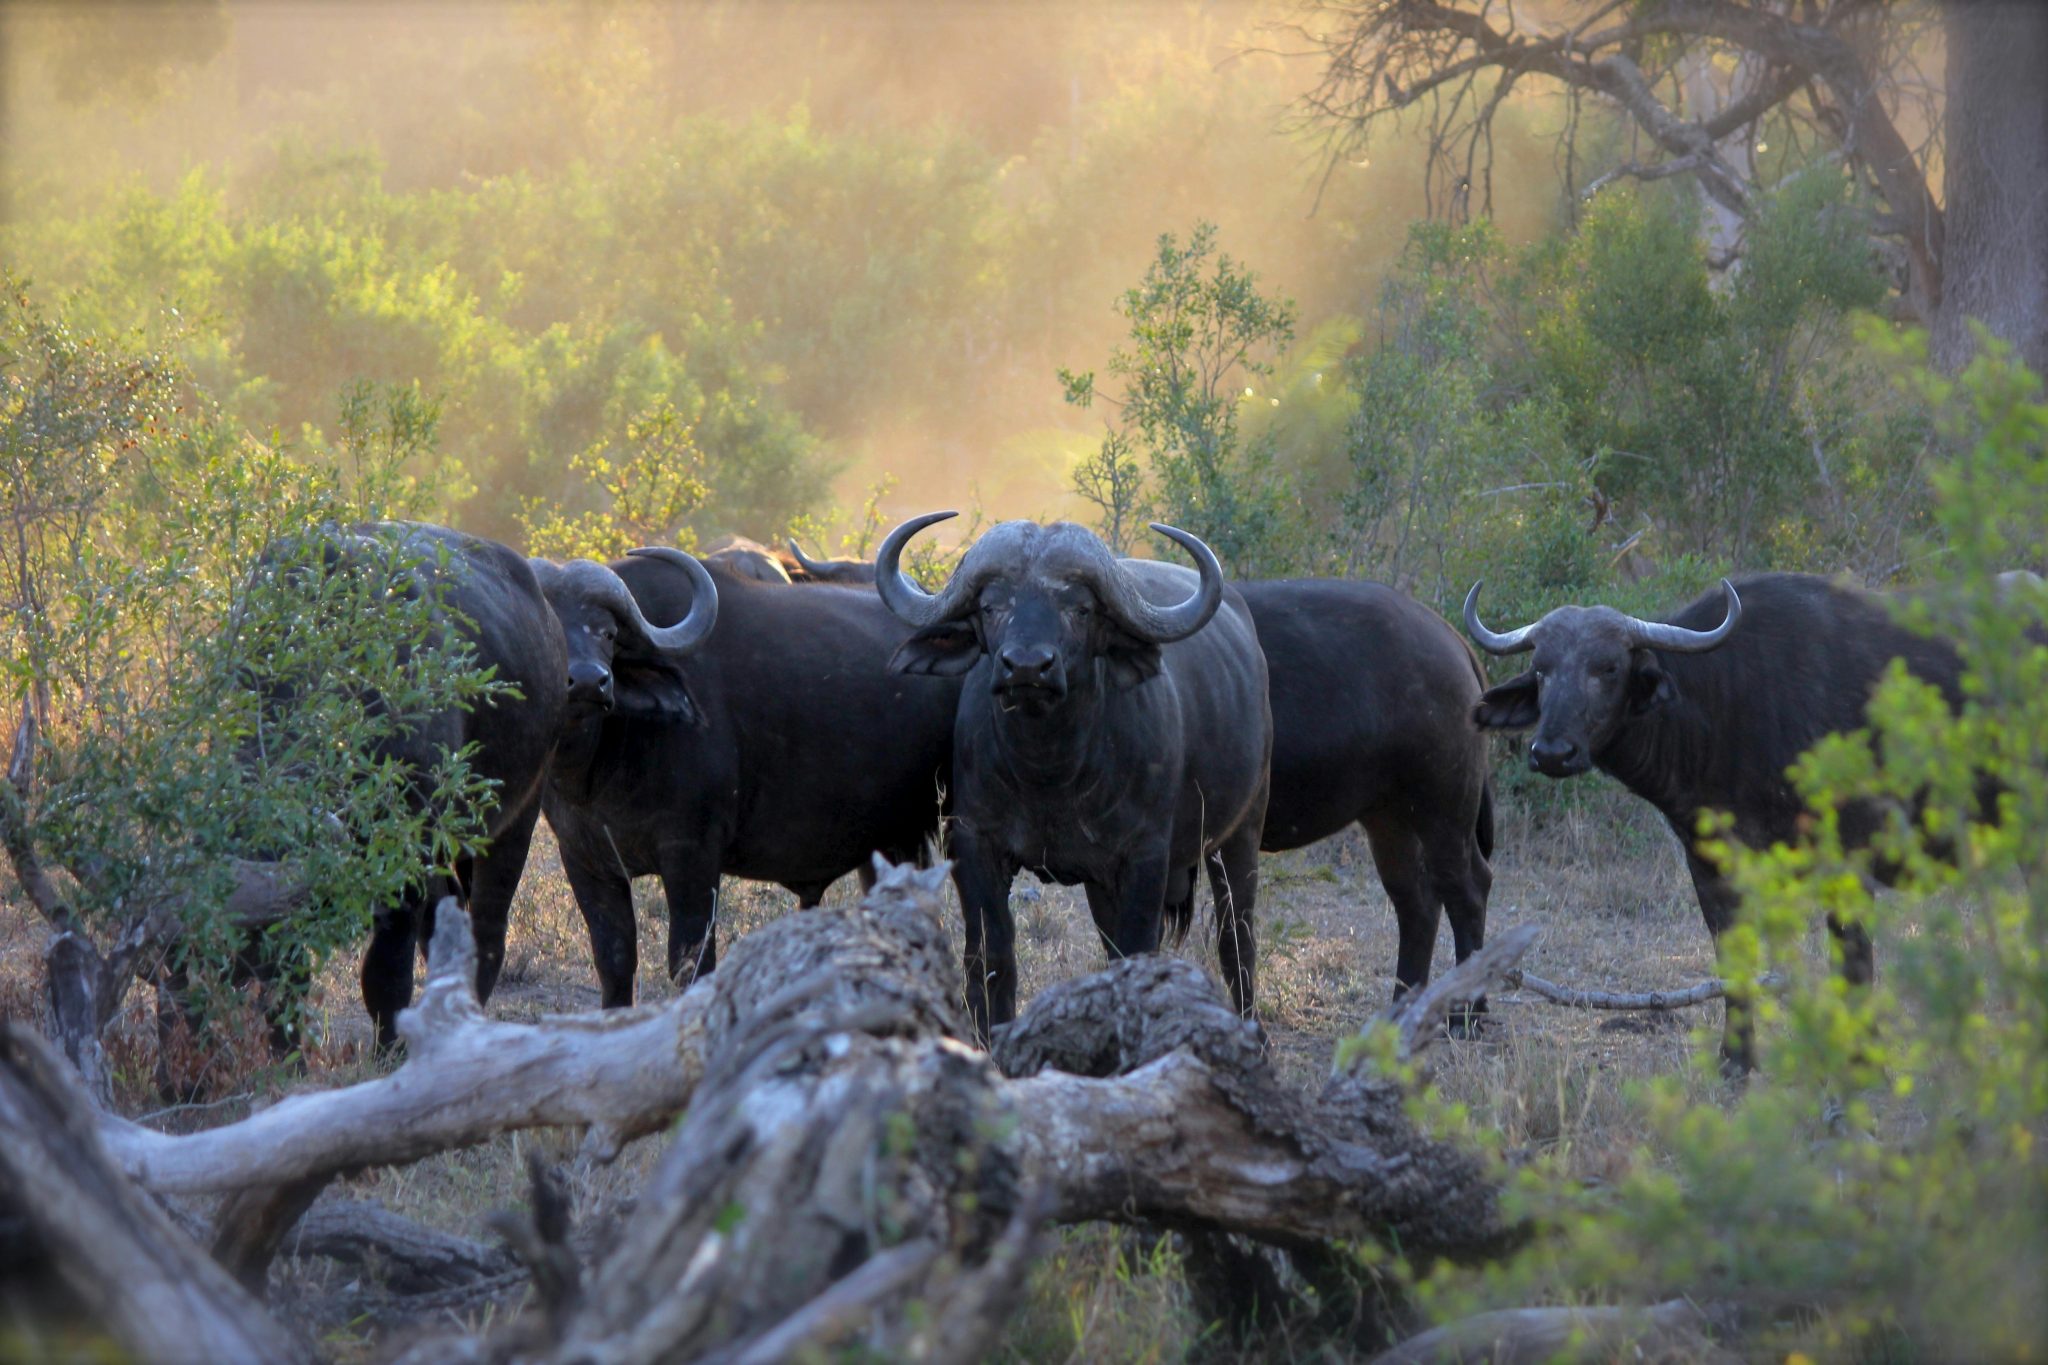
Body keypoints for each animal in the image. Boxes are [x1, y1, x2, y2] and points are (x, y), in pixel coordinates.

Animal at [538, 548, 959, 1006]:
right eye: (549, 628)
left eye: (608, 633)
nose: (589, 682)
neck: (597, 769)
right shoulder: (584, 861)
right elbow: (613, 962)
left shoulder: (692, 855)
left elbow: (690, 962)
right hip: (890, 843)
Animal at [876, 513, 1272, 1038]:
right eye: (991, 605)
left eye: (1080, 609)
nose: (1027, 667)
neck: (1051, 771)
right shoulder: (976, 843)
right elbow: (990, 957)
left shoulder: (1146, 856)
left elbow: (1136, 951)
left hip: (1242, 831)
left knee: (1237, 942)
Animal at [1463, 571, 1975, 1072]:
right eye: (1541, 670)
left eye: (1607, 668)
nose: (1551, 752)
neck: (1726, 704)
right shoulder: (1709, 864)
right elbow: (1733, 954)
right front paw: (1736, 1057)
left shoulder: (1849, 860)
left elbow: (1854, 958)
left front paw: (1861, 1060)